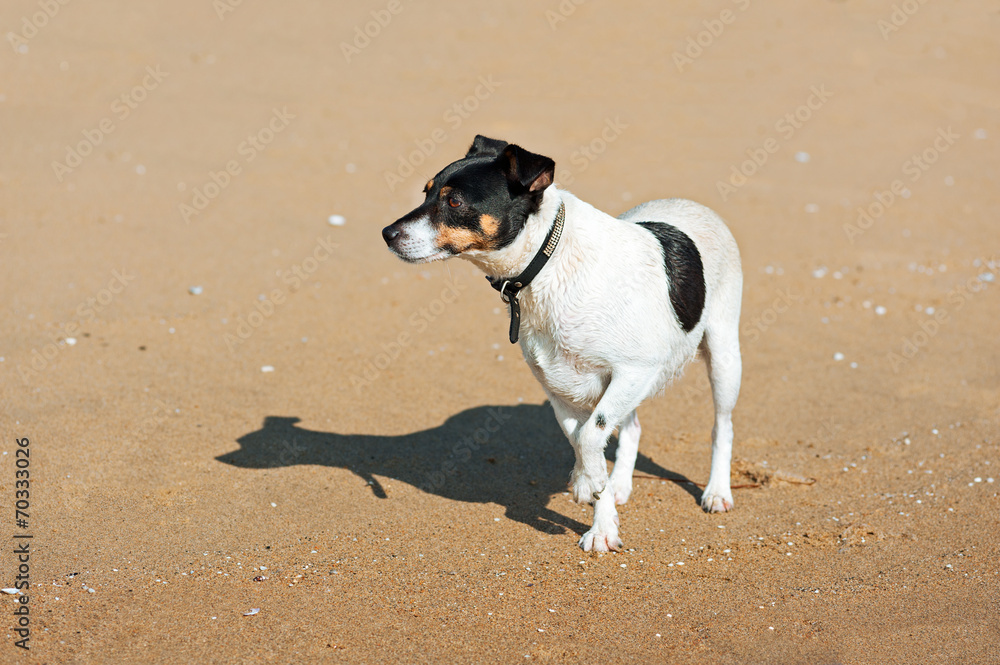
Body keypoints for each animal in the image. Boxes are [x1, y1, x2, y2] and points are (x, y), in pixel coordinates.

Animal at [382, 134, 744, 548]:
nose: (387, 234)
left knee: (722, 426)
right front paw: (596, 496)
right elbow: (583, 440)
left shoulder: (633, 370)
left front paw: (597, 513)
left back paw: (717, 491)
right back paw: (621, 483)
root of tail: (691, 204)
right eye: (426, 193)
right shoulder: (561, 388)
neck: (548, 261)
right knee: (632, 427)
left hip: (722, 356)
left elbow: (589, 436)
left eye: (454, 201)